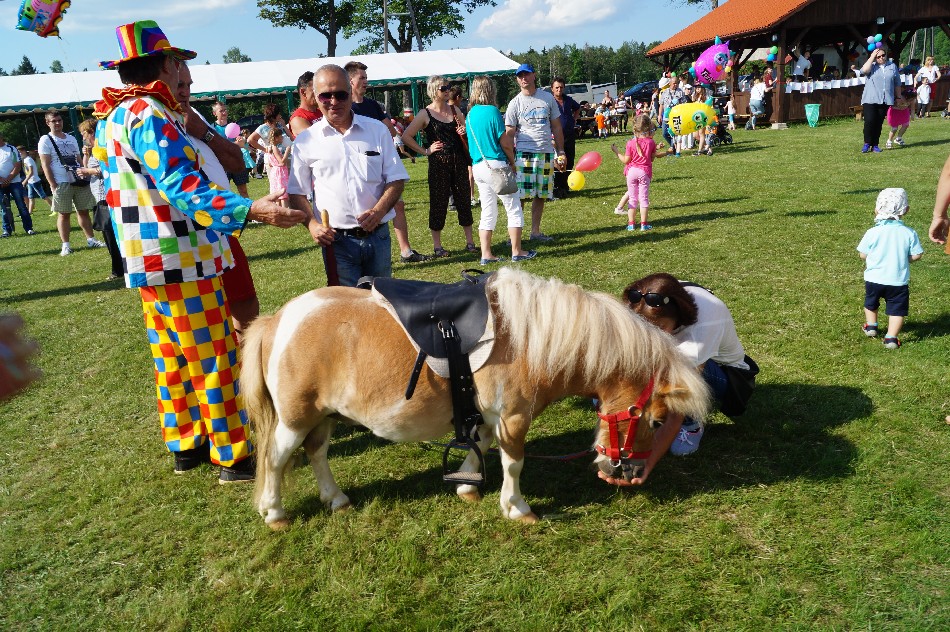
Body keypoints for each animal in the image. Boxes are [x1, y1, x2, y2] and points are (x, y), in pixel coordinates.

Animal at [242, 268, 710, 529]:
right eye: (655, 421)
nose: (630, 473)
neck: (533, 339)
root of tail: (277, 320)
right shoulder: (514, 417)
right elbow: (513, 462)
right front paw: (517, 508)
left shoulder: (485, 414)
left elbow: (480, 444)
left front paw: (467, 485)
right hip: (295, 418)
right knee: (277, 459)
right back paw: (274, 513)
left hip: (324, 416)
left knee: (317, 454)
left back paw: (335, 499)